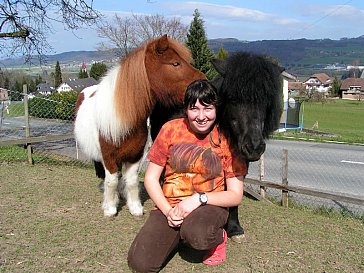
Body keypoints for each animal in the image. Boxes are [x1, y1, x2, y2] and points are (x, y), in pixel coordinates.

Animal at [74, 34, 206, 217]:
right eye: (175, 63)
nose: (204, 82)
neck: (123, 118)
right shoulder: (109, 157)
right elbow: (111, 181)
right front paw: (110, 208)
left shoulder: (135, 155)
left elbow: (131, 180)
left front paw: (134, 207)